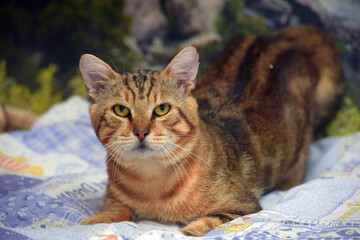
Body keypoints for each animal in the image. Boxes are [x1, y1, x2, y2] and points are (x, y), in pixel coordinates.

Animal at [78, 25, 344, 235]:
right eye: (121, 110)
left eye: (162, 109)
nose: (141, 131)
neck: (151, 184)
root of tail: (280, 38)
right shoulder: (113, 198)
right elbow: (115, 210)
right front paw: (92, 221)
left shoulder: (244, 206)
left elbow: (205, 224)